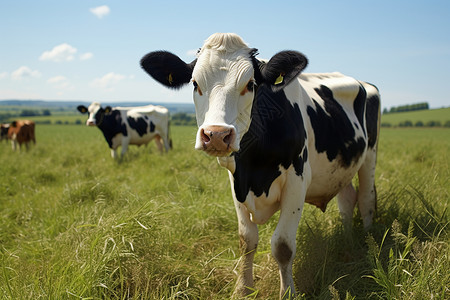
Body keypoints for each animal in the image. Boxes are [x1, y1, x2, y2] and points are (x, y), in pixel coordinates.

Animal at [140, 32, 380, 298]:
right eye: (195, 84)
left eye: (250, 84)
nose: (216, 135)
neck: (254, 166)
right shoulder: (236, 182)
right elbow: (246, 240)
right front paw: (242, 289)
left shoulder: (297, 181)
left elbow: (283, 246)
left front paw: (287, 293)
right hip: (340, 167)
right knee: (347, 200)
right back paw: (346, 240)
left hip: (370, 156)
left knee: (366, 199)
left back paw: (368, 244)